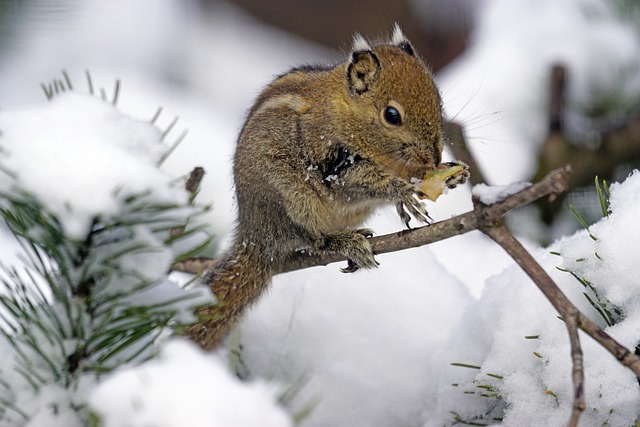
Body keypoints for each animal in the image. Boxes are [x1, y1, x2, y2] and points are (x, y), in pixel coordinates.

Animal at [185, 25, 470, 350]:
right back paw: (345, 243)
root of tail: (255, 237)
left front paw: (451, 175)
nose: (433, 157)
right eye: (392, 115)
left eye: (438, 100)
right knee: (313, 239)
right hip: (293, 202)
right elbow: (365, 183)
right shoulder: (332, 163)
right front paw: (403, 192)